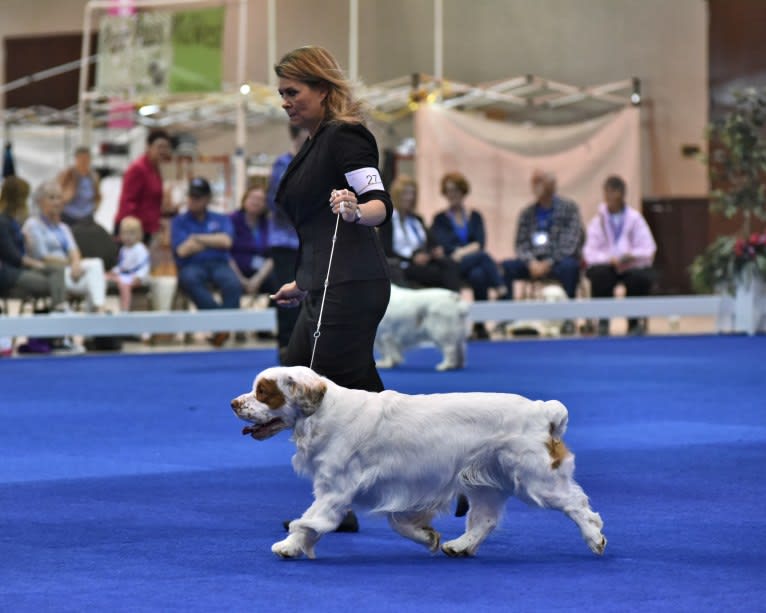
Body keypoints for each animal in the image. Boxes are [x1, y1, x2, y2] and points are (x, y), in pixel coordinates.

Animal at [231, 366, 608, 556]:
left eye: (263, 392)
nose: (234, 403)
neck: (322, 412)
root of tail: (543, 410)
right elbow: (399, 521)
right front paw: (428, 537)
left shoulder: (335, 489)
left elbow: (310, 521)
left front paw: (289, 546)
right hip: (484, 481)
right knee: (484, 520)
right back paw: (460, 546)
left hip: (537, 478)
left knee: (577, 505)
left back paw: (594, 538)